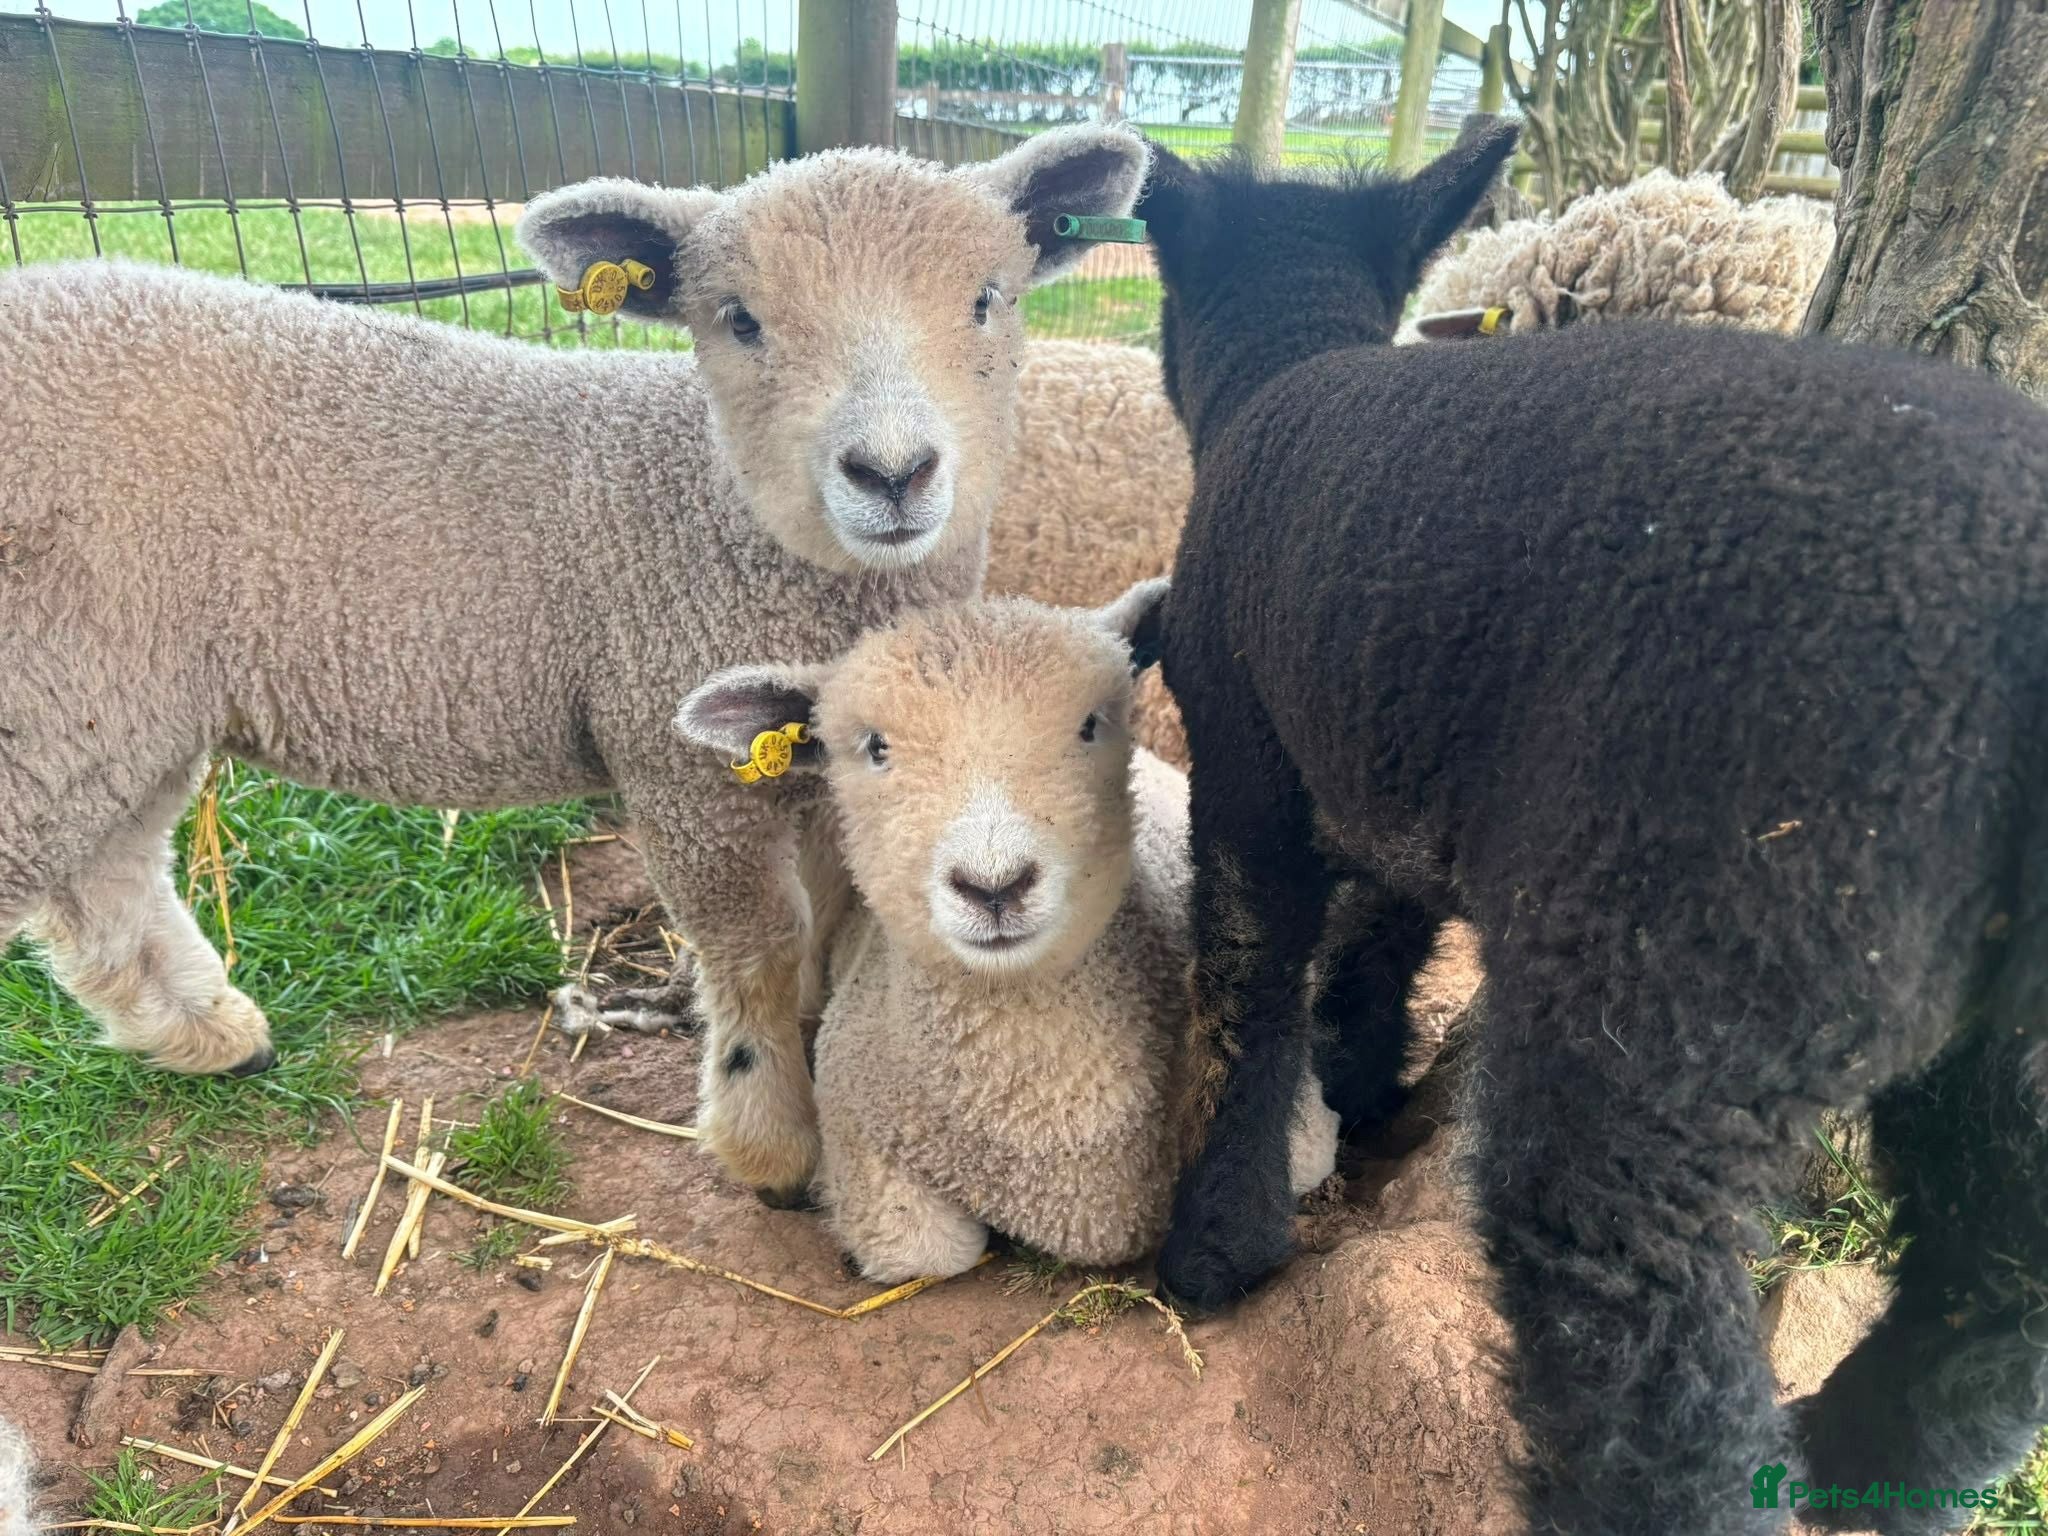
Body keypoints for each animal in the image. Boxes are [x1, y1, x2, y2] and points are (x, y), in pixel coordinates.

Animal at [0, 122, 1150, 1206]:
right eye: (738, 319)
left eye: (988, 298)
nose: (894, 472)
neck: (722, 514)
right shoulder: (675, 755)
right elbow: (758, 951)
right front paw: (768, 1141)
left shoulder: (828, 760)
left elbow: (833, 925)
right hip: (49, 692)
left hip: (112, 707)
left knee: (105, 880)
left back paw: (212, 1035)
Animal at [675, 584, 1335, 1281]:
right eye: (876, 746)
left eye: (1091, 725)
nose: (994, 885)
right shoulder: (862, 1133)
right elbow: (931, 1249)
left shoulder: (1303, 1132)